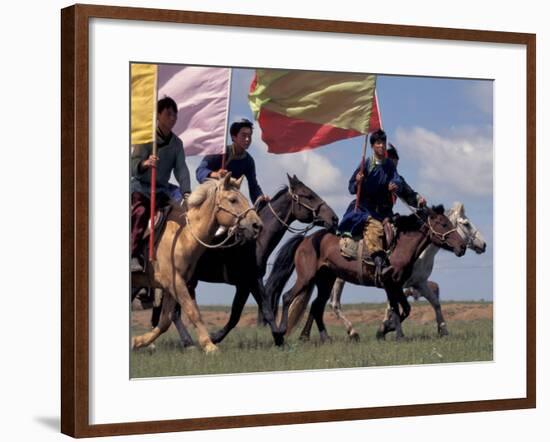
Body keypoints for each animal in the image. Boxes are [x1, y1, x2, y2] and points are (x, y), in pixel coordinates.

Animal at [133, 174, 264, 354]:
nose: (257, 225)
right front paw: (209, 345)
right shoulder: (176, 283)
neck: (182, 237)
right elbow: (192, 311)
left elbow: (165, 321)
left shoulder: (171, 285)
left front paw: (138, 341)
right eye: (233, 200)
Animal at [144, 174, 338, 348]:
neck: (254, 242)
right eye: (308, 195)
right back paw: (187, 342)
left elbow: (250, 312)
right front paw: (216, 338)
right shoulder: (248, 282)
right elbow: (249, 313)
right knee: (175, 313)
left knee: (173, 312)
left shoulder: (248, 284)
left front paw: (278, 338)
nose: (334, 218)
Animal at [266, 205, 468, 340]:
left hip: (326, 280)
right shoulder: (390, 285)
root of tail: (306, 239)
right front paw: (395, 334)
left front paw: (385, 330)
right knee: (288, 297)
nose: (462, 247)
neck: (400, 246)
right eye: (443, 224)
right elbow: (396, 309)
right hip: (306, 278)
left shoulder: (398, 285)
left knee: (316, 306)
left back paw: (323, 338)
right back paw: (282, 332)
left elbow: (405, 309)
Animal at [312, 202, 490, 340]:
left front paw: (443, 330)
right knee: (334, 303)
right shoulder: (395, 284)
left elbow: (434, 303)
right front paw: (385, 329)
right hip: (337, 279)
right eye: (465, 223)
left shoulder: (419, 283)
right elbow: (393, 307)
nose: (483, 245)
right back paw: (352, 332)